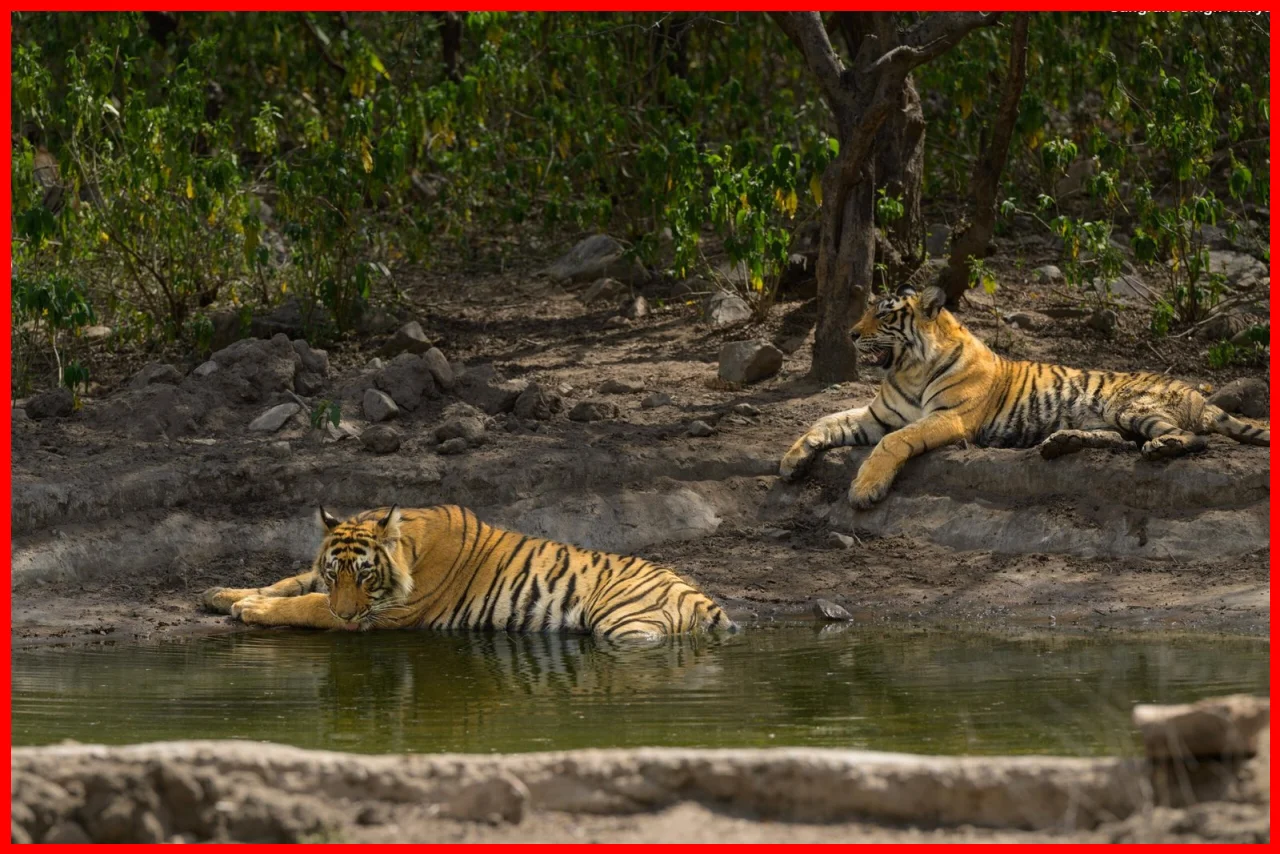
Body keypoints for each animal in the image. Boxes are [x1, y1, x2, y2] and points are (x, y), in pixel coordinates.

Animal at [202, 505, 735, 641]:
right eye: (337, 573)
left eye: (368, 576)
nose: (348, 612)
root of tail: (701, 595)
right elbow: (291, 582)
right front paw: (220, 593)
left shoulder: (383, 615)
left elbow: (307, 604)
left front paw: (248, 608)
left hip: (624, 624)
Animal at [780, 285, 1270, 509]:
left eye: (883, 315)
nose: (850, 333)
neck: (910, 367)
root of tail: (1196, 392)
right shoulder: (878, 414)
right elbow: (824, 421)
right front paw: (791, 461)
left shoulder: (949, 418)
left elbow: (891, 442)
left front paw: (865, 489)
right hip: (1112, 417)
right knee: (1120, 440)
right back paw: (1061, 443)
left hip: (1129, 404)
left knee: (1192, 440)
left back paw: (1161, 447)